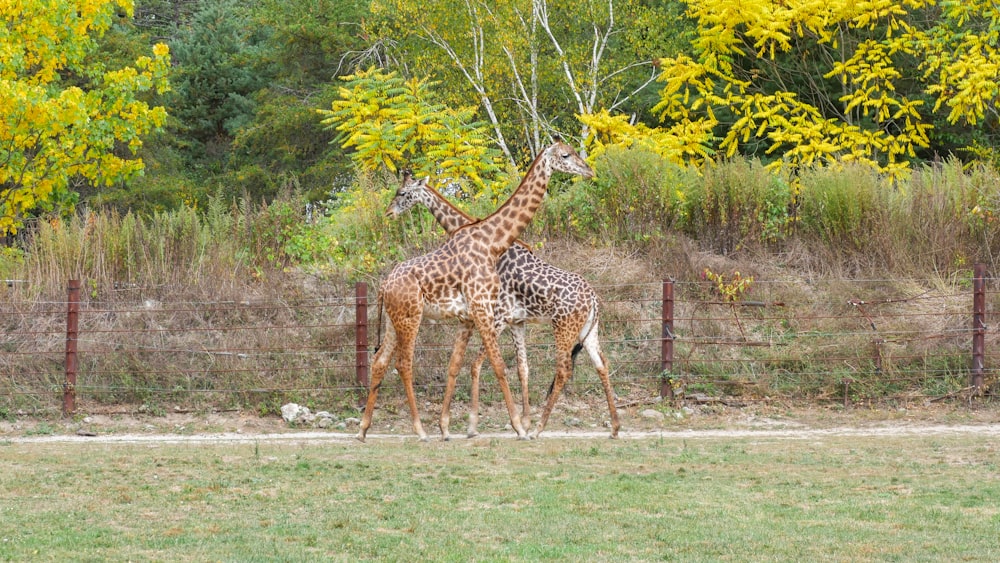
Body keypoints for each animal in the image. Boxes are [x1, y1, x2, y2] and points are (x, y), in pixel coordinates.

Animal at [358, 140, 592, 440]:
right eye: (565, 155)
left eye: (402, 193)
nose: (588, 170)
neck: (491, 241)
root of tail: (384, 285)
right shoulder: (484, 309)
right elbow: (496, 365)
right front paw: (513, 426)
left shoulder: (476, 316)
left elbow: (461, 364)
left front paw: (450, 427)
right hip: (410, 318)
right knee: (402, 364)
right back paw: (419, 430)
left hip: (395, 319)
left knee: (380, 361)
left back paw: (365, 428)